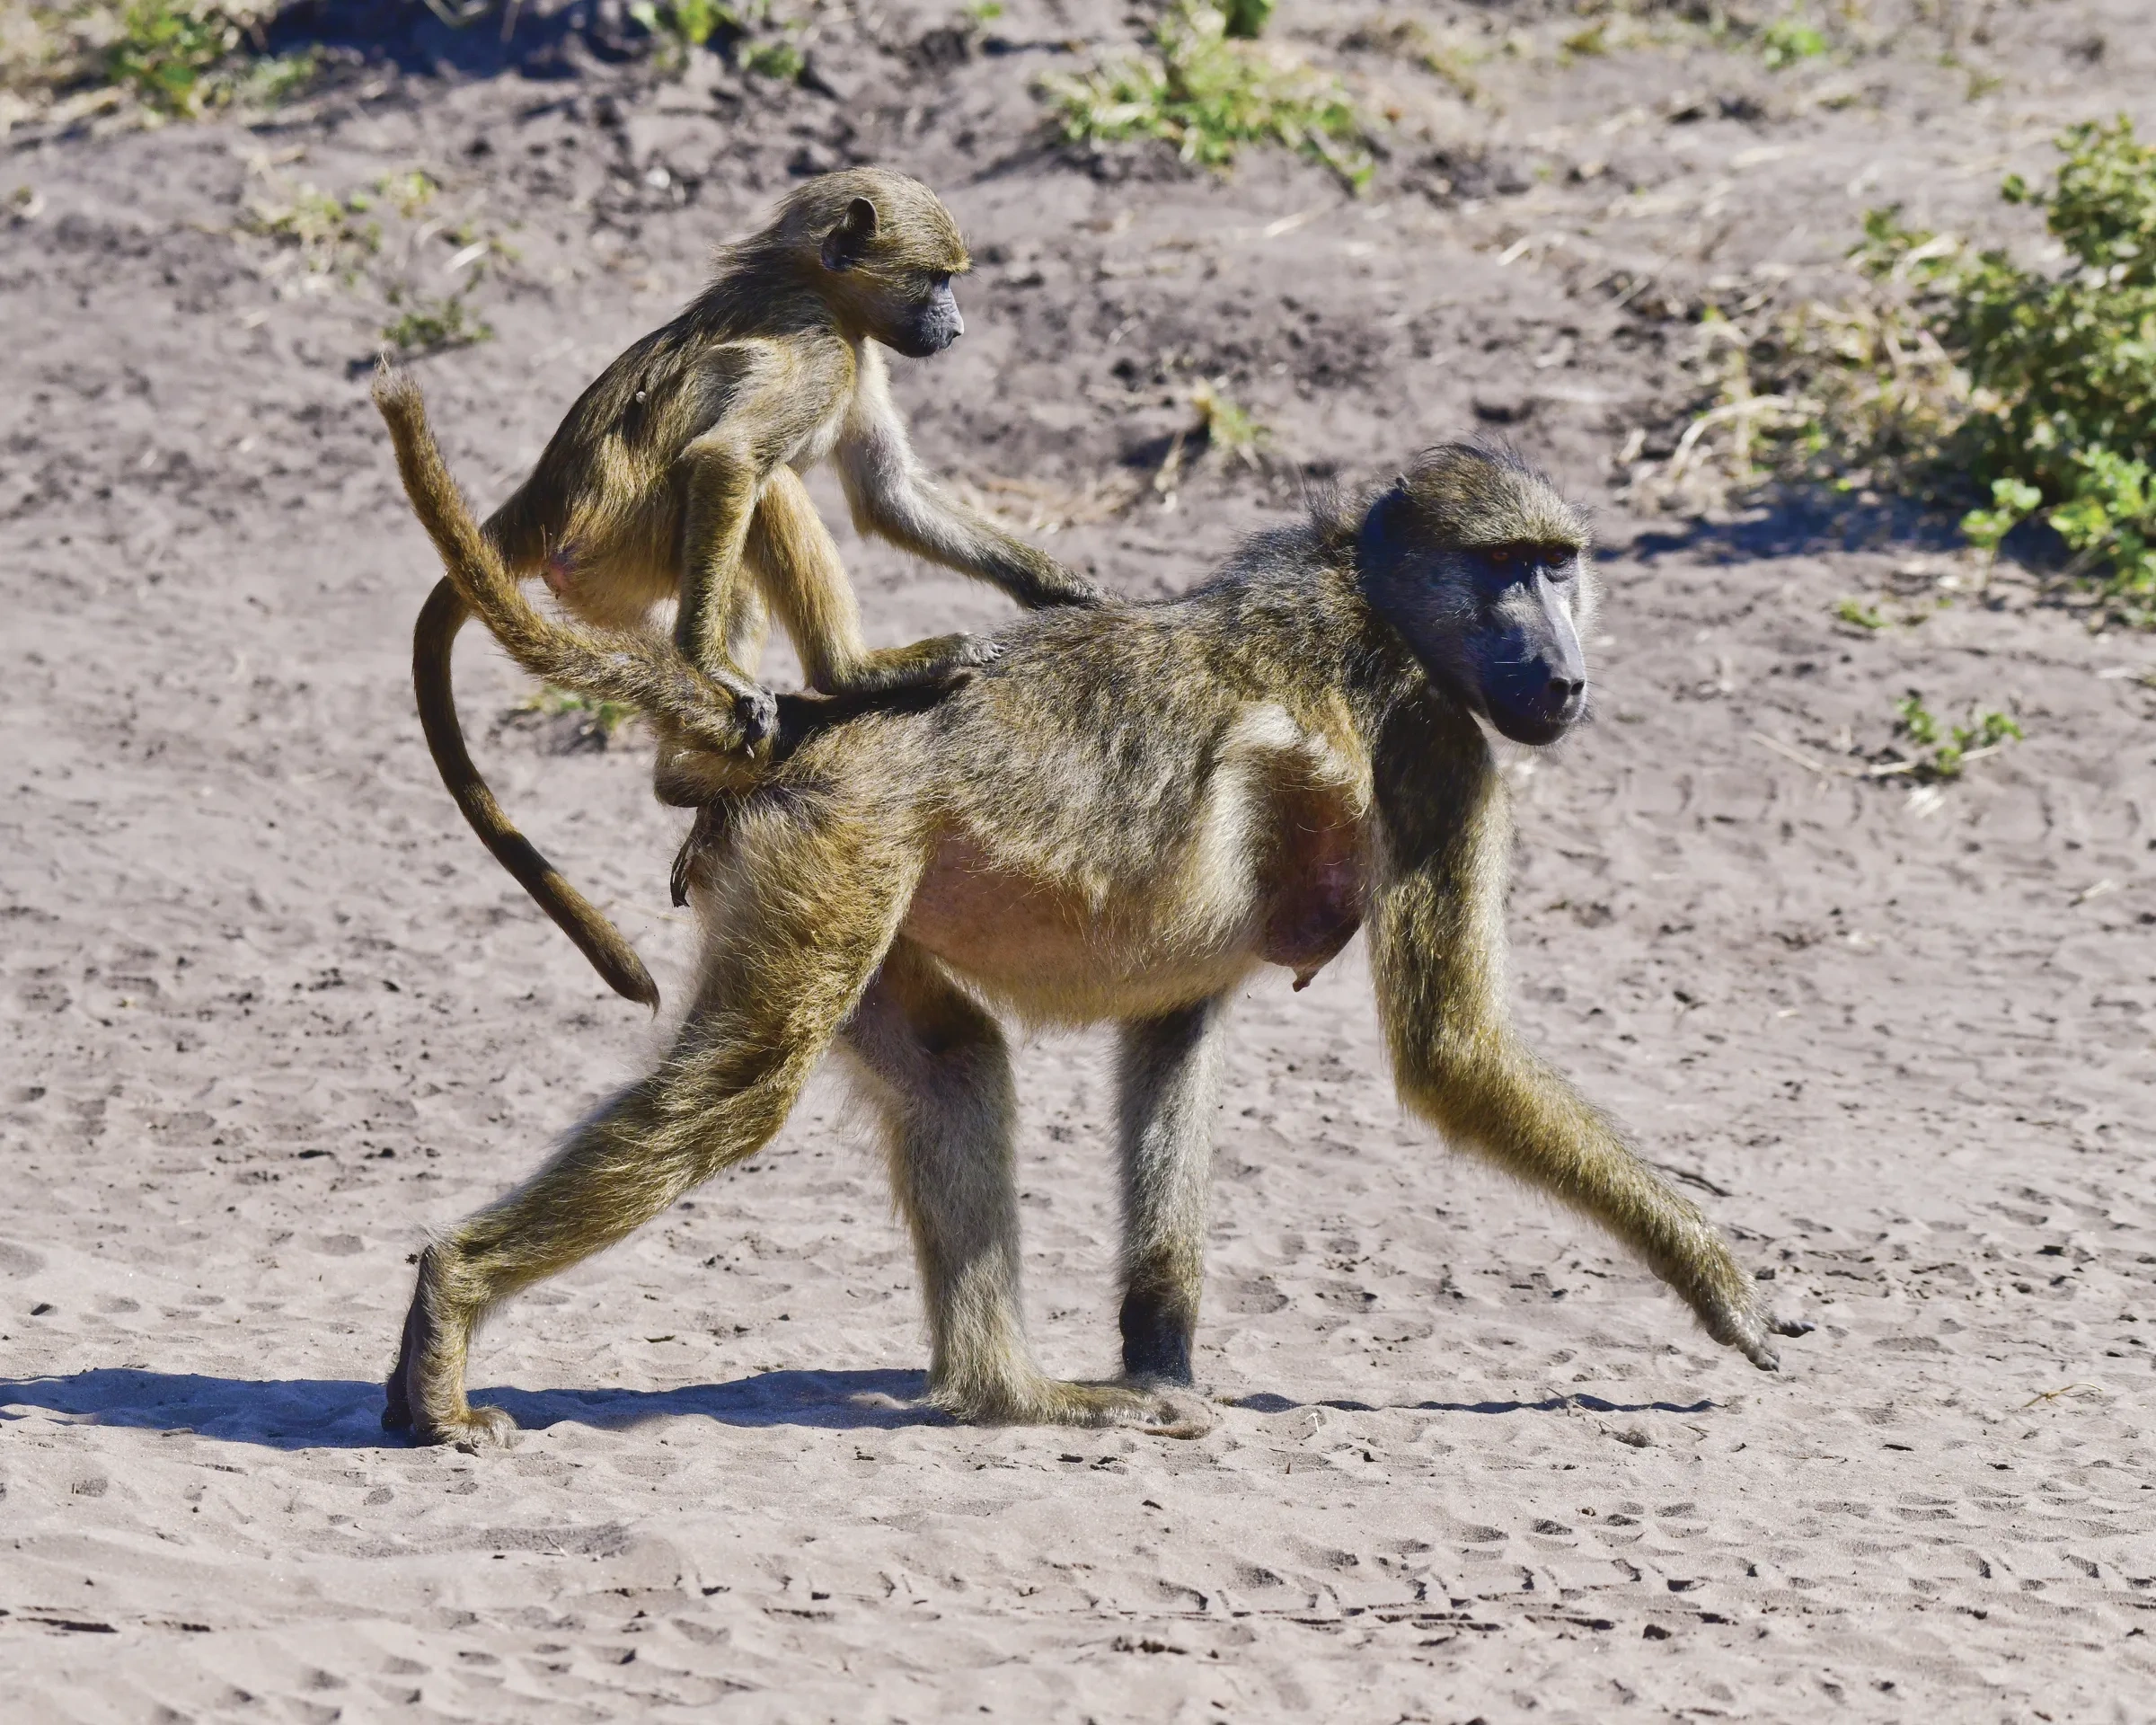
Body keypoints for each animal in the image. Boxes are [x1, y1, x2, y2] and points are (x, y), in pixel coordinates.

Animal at [378, 438, 1810, 1448]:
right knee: (748, 1083)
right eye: (1509, 567)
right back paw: (451, 1304)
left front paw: (1161, 1356)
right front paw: (1713, 1275)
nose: (1564, 672)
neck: (1374, 596)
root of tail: (793, 722)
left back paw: (1011, 1395)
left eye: (1561, 563)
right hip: (842, 844)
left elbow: (1170, 1048)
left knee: (954, 1065)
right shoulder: (1435, 748)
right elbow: (1453, 1051)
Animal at [388, 166, 1105, 1011]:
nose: (956, 329)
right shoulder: (825, 349)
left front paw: (1061, 588)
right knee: (768, 485)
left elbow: (889, 496)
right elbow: (728, 460)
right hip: (612, 547)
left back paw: (695, 775)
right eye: (936, 280)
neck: (815, 284)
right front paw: (717, 669)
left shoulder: (861, 354)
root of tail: (540, 501)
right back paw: (849, 674)